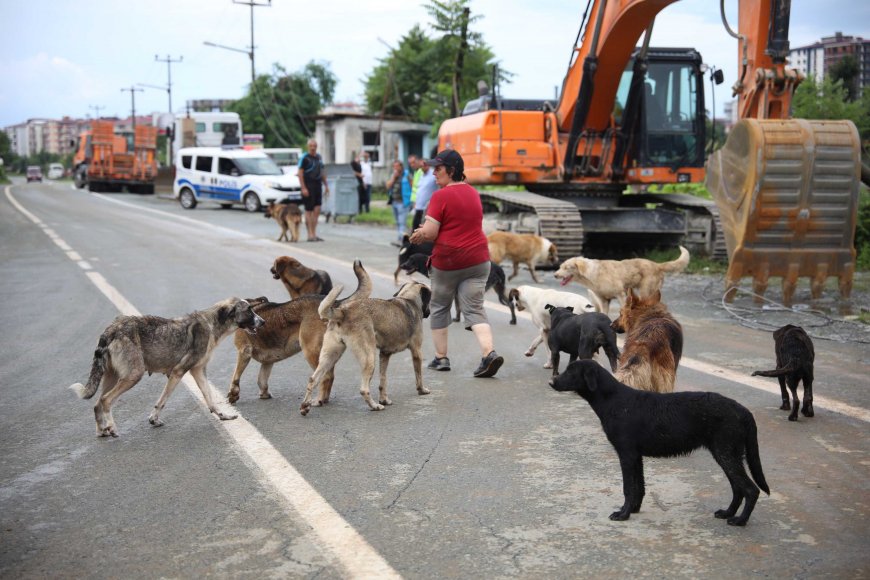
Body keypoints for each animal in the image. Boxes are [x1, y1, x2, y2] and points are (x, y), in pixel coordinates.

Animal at [70, 296, 266, 438]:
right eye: (249, 310)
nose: (263, 322)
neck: (212, 324)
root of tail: (112, 328)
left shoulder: (198, 371)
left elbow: (209, 398)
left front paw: (223, 415)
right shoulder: (178, 372)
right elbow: (163, 400)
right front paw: (153, 419)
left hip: (113, 376)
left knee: (97, 404)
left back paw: (102, 431)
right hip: (133, 375)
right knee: (106, 400)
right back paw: (111, 428)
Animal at [225, 260, 372, 406]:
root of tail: (334, 304)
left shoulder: (244, 352)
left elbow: (235, 377)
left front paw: (233, 395)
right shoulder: (267, 362)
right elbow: (261, 380)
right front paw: (264, 394)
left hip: (310, 351)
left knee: (325, 377)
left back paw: (318, 400)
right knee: (329, 377)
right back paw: (323, 399)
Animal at [552, 358, 768, 524]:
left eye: (571, 372)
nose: (552, 382)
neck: (614, 400)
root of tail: (743, 410)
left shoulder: (626, 455)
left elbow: (628, 488)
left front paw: (623, 514)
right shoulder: (636, 457)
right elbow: (639, 487)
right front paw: (634, 510)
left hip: (726, 454)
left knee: (751, 489)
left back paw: (740, 521)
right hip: (726, 455)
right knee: (738, 489)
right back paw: (727, 513)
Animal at [556, 246, 692, 314]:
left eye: (566, 268)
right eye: (560, 267)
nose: (555, 275)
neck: (593, 273)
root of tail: (657, 265)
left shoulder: (621, 295)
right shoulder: (603, 300)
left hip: (645, 292)